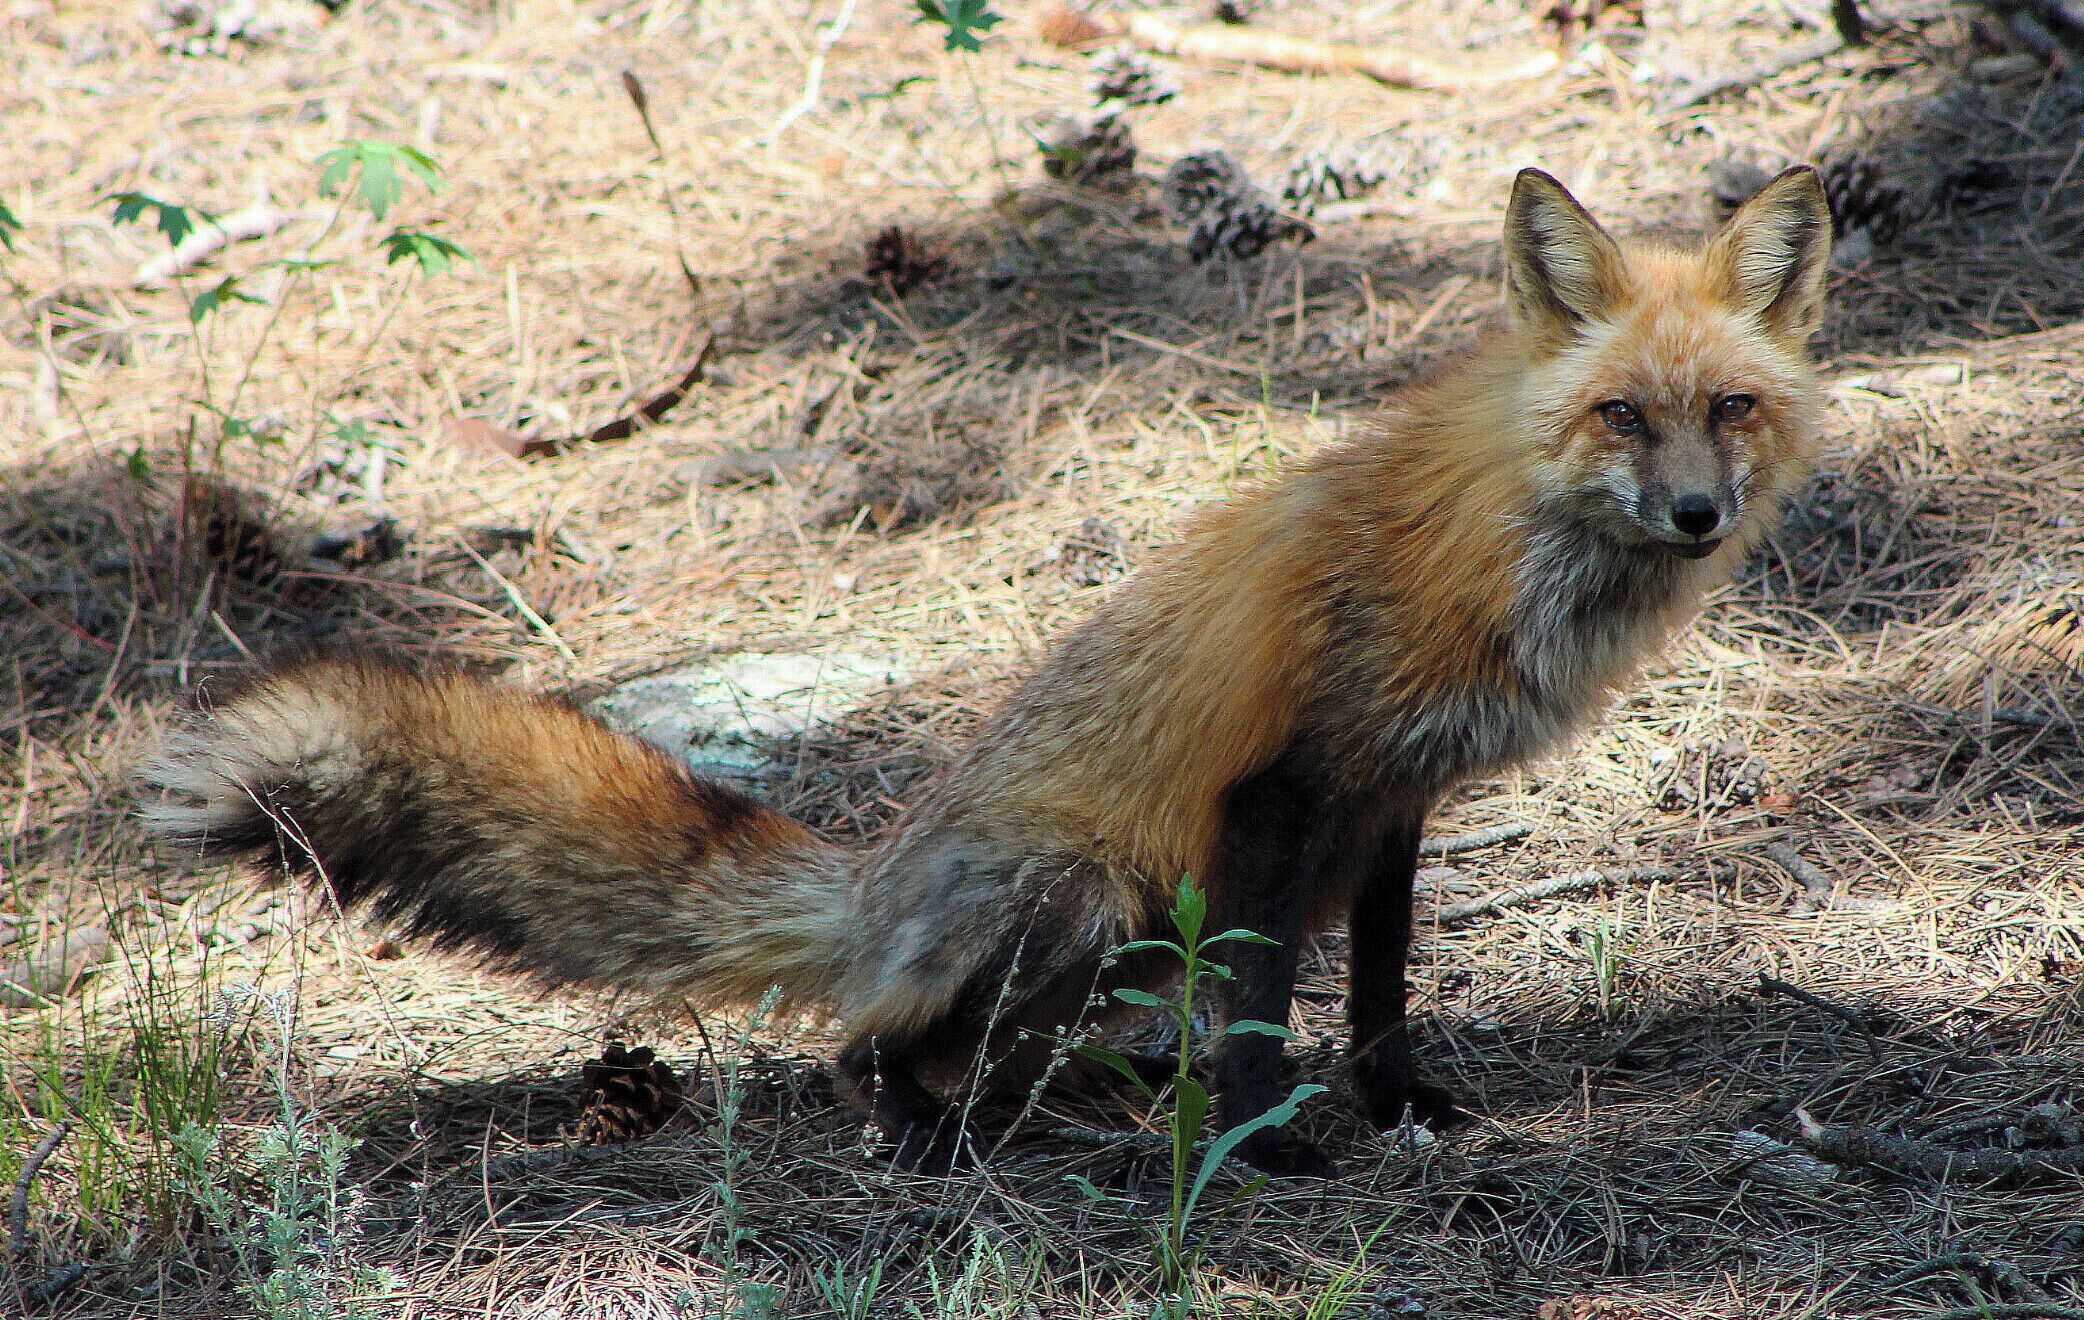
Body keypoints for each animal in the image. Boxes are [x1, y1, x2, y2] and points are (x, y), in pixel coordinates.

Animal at [145, 166, 1832, 1178]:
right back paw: (936, 1131)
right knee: (867, 1041)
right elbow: (1266, 1006)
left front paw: (1395, 1105)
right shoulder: (1287, 790)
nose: (1699, 515)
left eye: (1731, 409)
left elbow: (1378, 989)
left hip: (1134, 931)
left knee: (1005, 1048)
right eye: (1623, 413)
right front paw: (1268, 1146)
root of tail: (876, 886)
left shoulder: (1390, 802)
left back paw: (1093, 1097)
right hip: (1084, 895)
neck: (1503, 547)